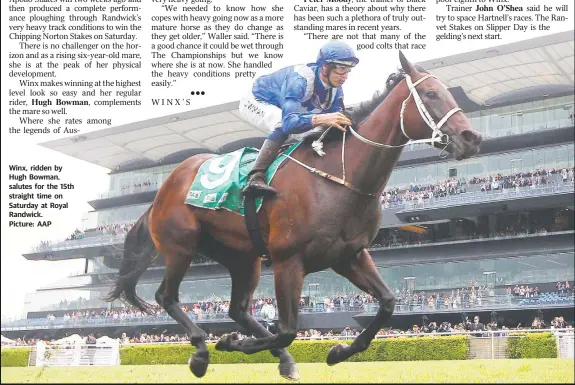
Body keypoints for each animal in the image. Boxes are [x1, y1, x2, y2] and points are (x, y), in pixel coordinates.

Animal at [106, 52, 484, 380]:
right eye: (431, 94)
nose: (472, 137)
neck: (339, 178)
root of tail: (166, 184)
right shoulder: (289, 260)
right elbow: (287, 329)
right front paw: (230, 343)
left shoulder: (350, 255)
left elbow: (388, 304)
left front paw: (338, 351)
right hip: (181, 246)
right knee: (166, 297)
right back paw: (201, 352)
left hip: (243, 257)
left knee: (237, 310)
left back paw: (279, 359)